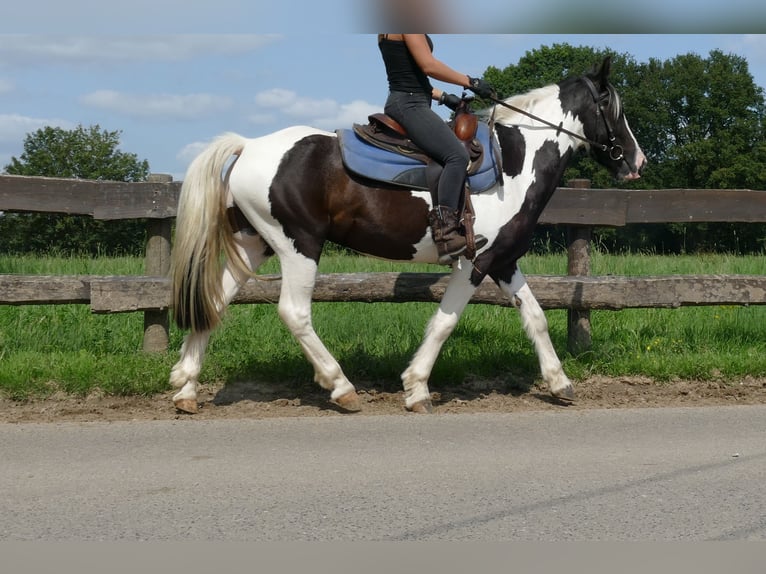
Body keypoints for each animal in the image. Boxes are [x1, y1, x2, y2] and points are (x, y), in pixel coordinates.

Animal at [170, 58, 648, 416]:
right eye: (611, 104)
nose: (637, 161)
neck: (513, 163)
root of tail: (248, 145)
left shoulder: (504, 260)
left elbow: (535, 316)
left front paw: (559, 382)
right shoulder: (475, 261)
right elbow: (445, 322)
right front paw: (416, 387)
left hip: (255, 243)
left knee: (215, 302)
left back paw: (186, 388)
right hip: (298, 246)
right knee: (294, 312)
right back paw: (341, 387)